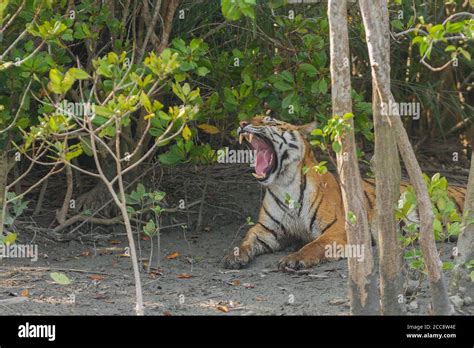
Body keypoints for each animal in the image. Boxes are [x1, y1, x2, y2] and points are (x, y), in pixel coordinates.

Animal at [223, 115, 466, 270]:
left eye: (269, 120)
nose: (242, 123)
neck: (284, 185)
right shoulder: (267, 230)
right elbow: (247, 238)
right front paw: (233, 256)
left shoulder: (338, 229)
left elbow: (315, 245)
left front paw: (294, 258)